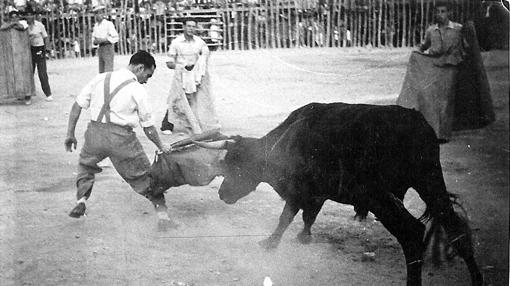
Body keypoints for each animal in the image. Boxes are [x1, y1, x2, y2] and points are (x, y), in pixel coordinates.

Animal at [151, 101, 482, 284]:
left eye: (234, 165)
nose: (222, 194)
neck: (282, 144)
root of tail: (415, 123)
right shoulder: (317, 193)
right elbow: (308, 215)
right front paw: (303, 237)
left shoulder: (300, 190)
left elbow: (286, 215)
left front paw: (270, 243)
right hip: (431, 182)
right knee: (456, 229)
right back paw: (477, 279)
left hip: (380, 196)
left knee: (412, 233)